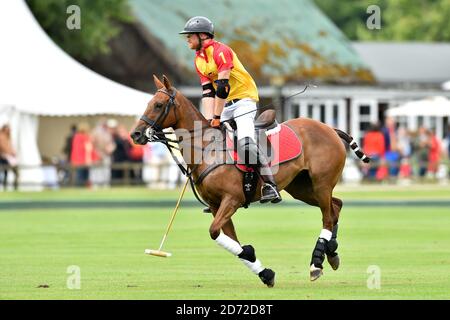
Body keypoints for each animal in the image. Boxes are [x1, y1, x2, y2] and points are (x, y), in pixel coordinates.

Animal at [131, 75, 370, 288]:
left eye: (158, 105)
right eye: (148, 103)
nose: (136, 134)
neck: (206, 148)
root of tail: (330, 128)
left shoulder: (232, 199)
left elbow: (214, 232)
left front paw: (253, 255)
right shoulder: (216, 205)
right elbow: (230, 239)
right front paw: (264, 271)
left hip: (321, 183)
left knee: (327, 217)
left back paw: (316, 263)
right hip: (301, 187)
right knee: (336, 205)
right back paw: (331, 253)